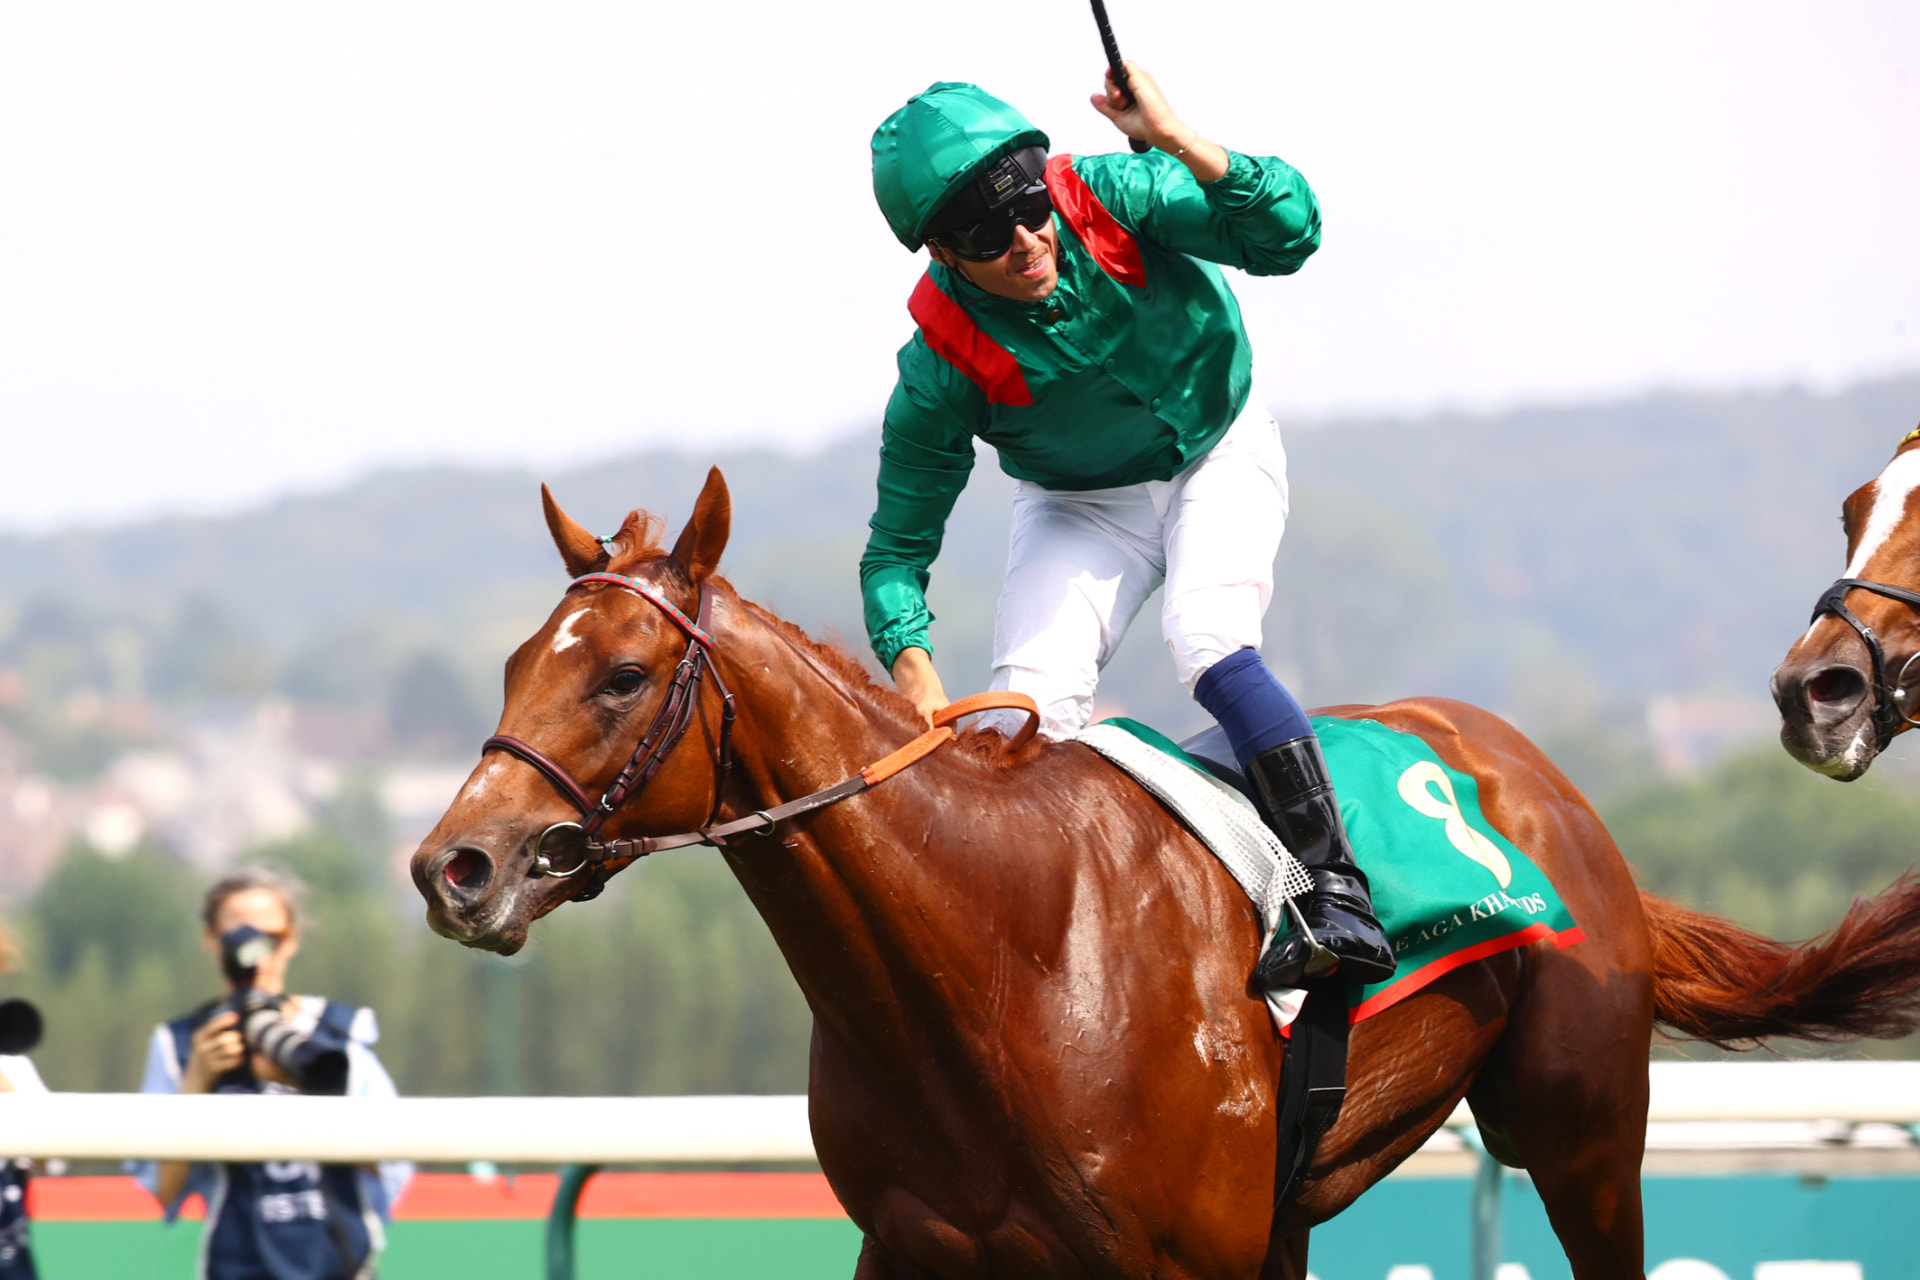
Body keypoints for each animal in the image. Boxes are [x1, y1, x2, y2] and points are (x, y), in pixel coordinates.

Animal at [413, 468, 1920, 1280]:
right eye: (516, 663)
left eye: (620, 675)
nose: (453, 864)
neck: (997, 953)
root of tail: (1542, 784)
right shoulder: (913, 1243)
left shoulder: (1176, 1256)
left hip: (1582, 1129)